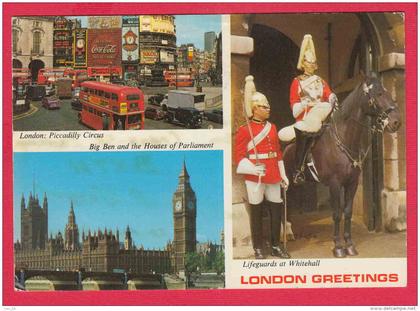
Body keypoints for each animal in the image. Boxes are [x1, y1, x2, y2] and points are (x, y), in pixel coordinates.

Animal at [282, 75, 400, 258]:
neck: (345, 140)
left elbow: (348, 212)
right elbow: (337, 214)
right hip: (285, 183)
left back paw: (289, 232)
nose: (396, 122)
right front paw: (338, 246)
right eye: (378, 93)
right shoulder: (335, 184)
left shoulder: (351, 183)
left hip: (296, 185)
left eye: (386, 91)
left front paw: (349, 245)